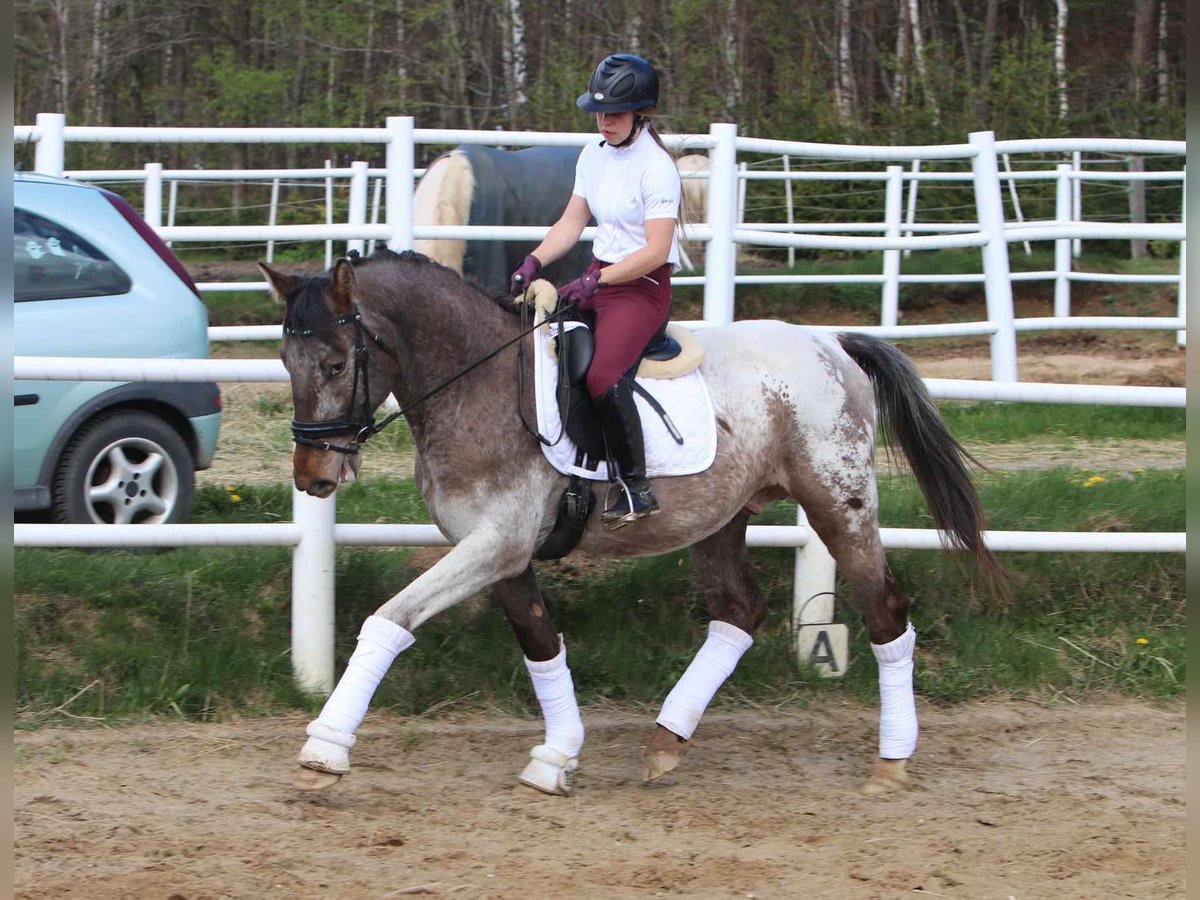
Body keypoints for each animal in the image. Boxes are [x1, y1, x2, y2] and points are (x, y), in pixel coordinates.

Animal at [262, 244, 1003, 796]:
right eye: (286, 362)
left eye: (336, 363)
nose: (313, 477)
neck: (480, 386)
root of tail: (832, 344)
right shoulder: (498, 551)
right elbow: (541, 645)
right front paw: (557, 756)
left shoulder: (495, 544)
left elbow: (388, 620)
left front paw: (325, 748)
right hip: (721, 518)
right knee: (739, 612)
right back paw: (666, 740)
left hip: (837, 503)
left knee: (884, 611)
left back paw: (892, 759)